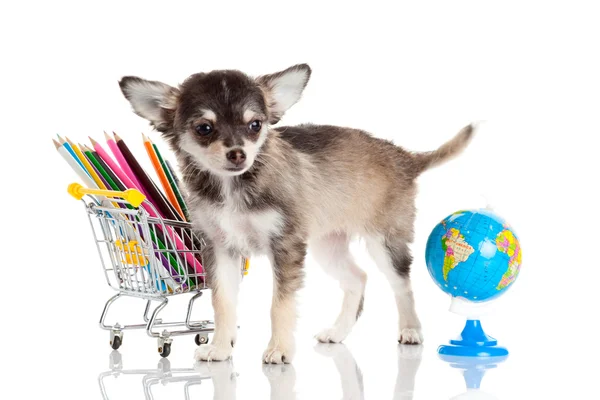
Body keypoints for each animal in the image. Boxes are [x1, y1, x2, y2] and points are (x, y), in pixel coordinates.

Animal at [119, 63, 476, 366]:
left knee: (402, 284)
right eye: (204, 128)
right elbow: (222, 303)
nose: (238, 153)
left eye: (255, 125)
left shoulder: (285, 247)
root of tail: (405, 158)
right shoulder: (220, 249)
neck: (233, 187)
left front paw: (279, 350)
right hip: (327, 246)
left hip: (385, 241)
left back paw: (411, 330)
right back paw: (338, 331)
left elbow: (280, 304)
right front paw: (220, 348)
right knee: (358, 278)